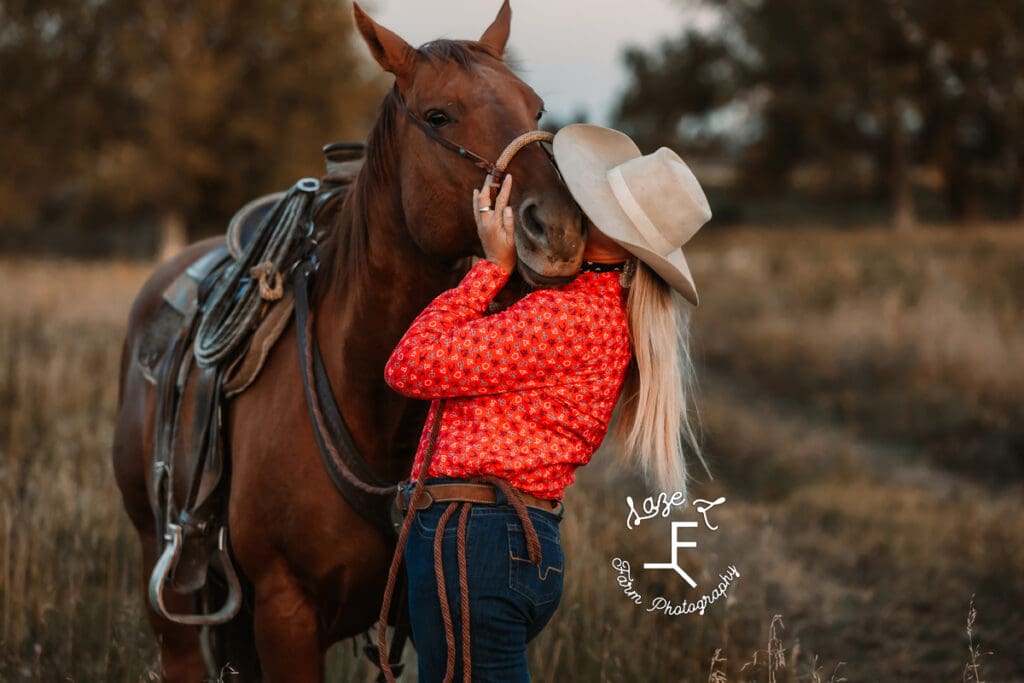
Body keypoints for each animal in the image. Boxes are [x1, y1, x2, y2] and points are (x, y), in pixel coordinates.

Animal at [112, 2, 585, 679]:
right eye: (439, 115)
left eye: (536, 109)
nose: (560, 230)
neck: (366, 396)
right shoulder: (284, 616)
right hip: (169, 581)